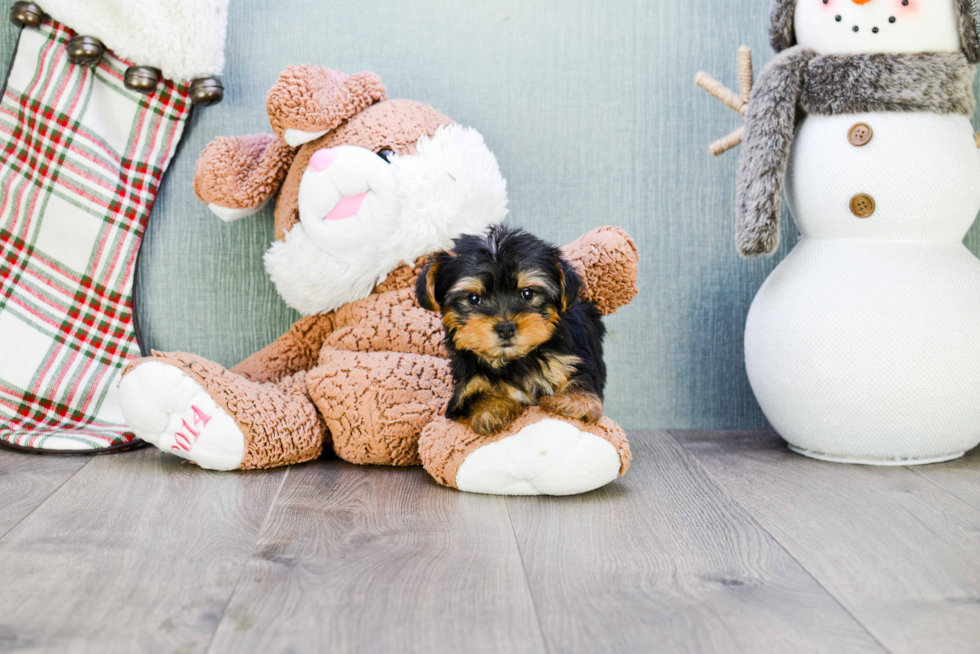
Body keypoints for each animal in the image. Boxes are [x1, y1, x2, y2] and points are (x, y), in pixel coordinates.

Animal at [414, 226, 604, 436]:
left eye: (527, 293)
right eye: (473, 298)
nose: (505, 329)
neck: (512, 361)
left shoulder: (574, 358)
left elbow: (581, 378)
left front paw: (573, 400)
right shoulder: (465, 386)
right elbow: (474, 395)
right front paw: (491, 409)